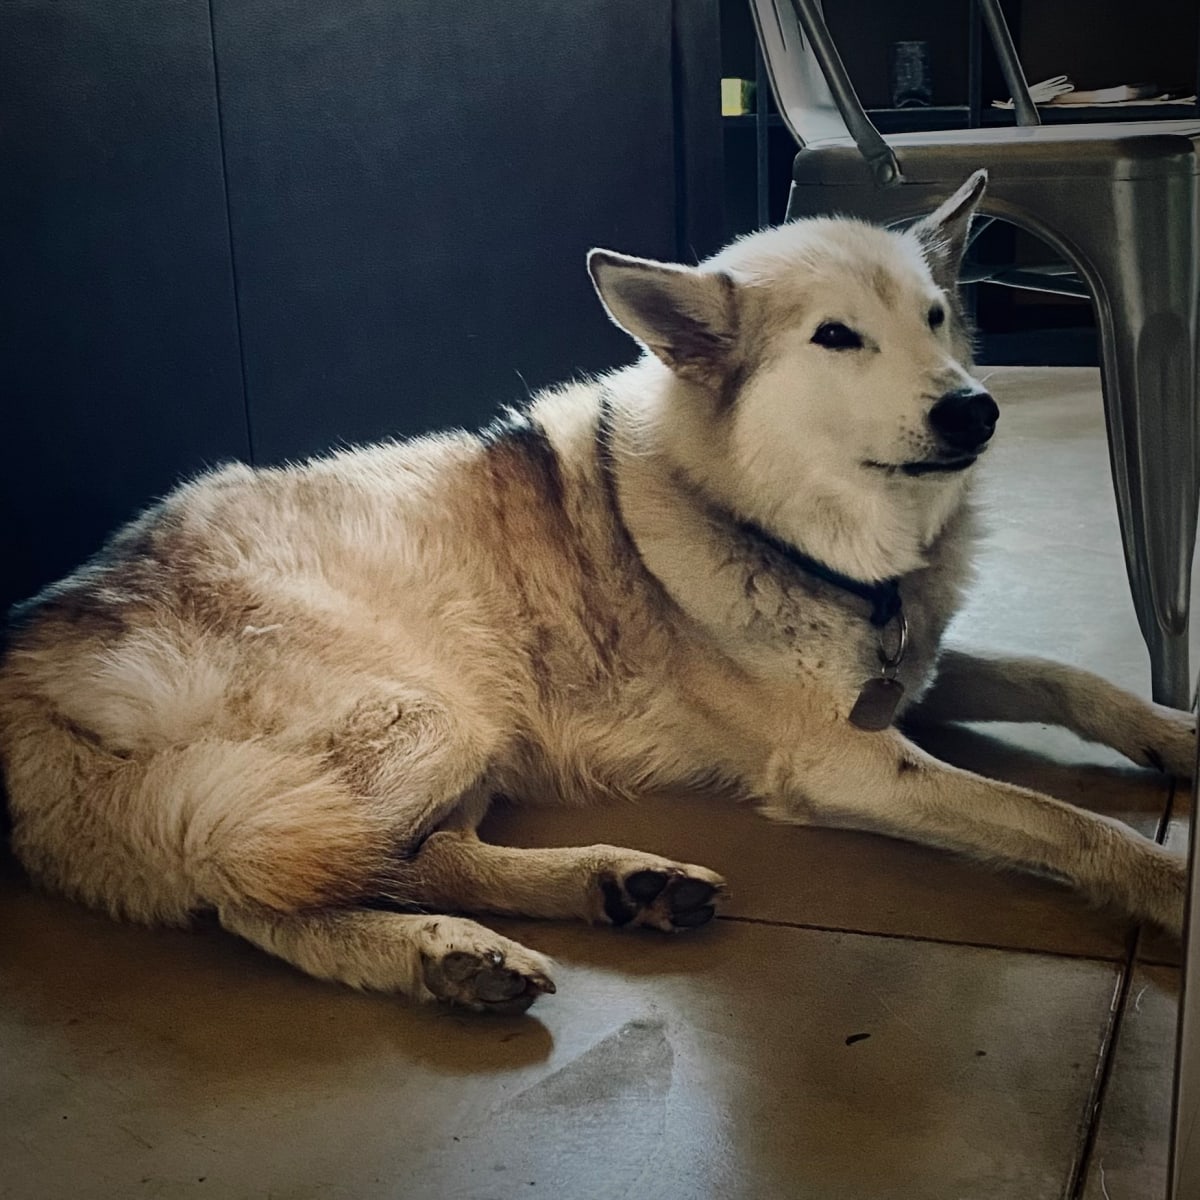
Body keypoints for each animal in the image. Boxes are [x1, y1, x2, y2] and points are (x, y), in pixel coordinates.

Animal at [1, 172, 1192, 1013]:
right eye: (837, 338)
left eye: (938, 317)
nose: (974, 409)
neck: (784, 530)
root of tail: (30, 636)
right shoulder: (842, 760)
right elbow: (1058, 819)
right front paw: (1172, 886)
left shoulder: (908, 675)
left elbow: (1067, 680)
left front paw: (1175, 734)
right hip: (417, 727)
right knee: (263, 894)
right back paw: (448, 953)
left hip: (448, 750)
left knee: (419, 860)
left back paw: (598, 893)